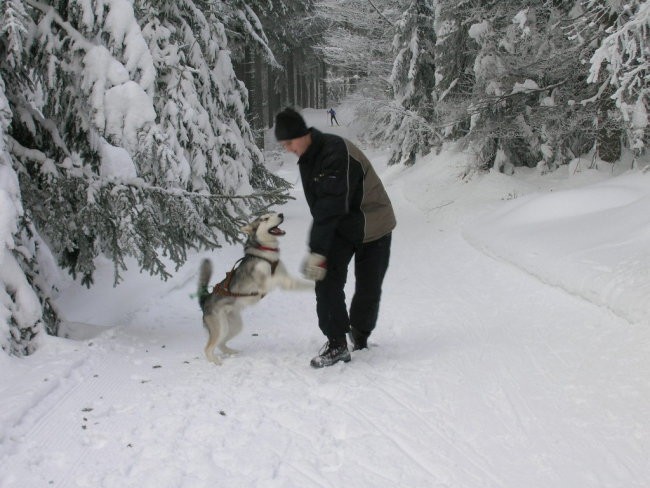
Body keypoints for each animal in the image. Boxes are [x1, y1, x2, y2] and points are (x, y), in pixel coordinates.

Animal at [195, 212, 312, 364]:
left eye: (274, 212)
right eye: (265, 218)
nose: (281, 214)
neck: (266, 252)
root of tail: (205, 299)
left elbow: (301, 283)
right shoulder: (264, 282)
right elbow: (279, 279)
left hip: (234, 326)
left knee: (220, 344)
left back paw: (232, 352)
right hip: (221, 327)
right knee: (208, 348)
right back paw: (215, 362)